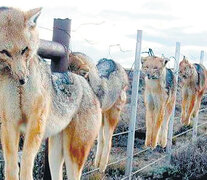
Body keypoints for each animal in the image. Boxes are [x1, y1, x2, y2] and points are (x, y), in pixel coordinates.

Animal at [0, 6, 102, 179]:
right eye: (5, 52)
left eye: (25, 50)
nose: (23, 79)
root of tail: (84, 82)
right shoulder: (9, 122)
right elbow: (11, 167)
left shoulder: (36, 121)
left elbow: (26, 162)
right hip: (54, 155)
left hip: (72, 157)